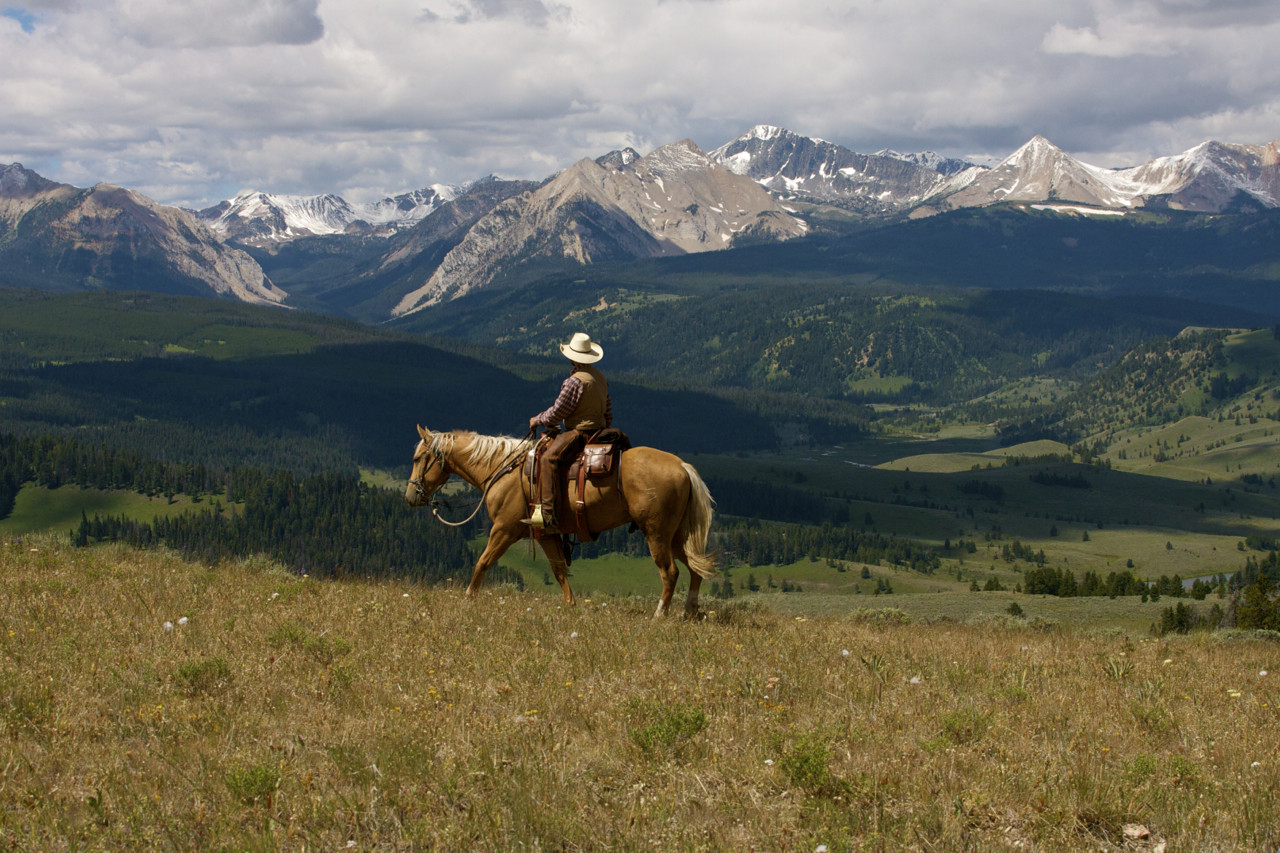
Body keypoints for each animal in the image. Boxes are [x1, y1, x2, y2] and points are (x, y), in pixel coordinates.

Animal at [404, 427, 716, 614]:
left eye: (418, 457)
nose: (410, 496)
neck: (501, 469)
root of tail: (682, 466)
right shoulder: (547, 534)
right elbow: (559, 571)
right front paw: (571, 606)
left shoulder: (503, 529)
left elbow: (483, 561)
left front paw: (468, 598)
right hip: (677, 536)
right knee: (695, 569)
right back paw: (689, 612)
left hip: (656, 533)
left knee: (670, 572)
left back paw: (660, 614)